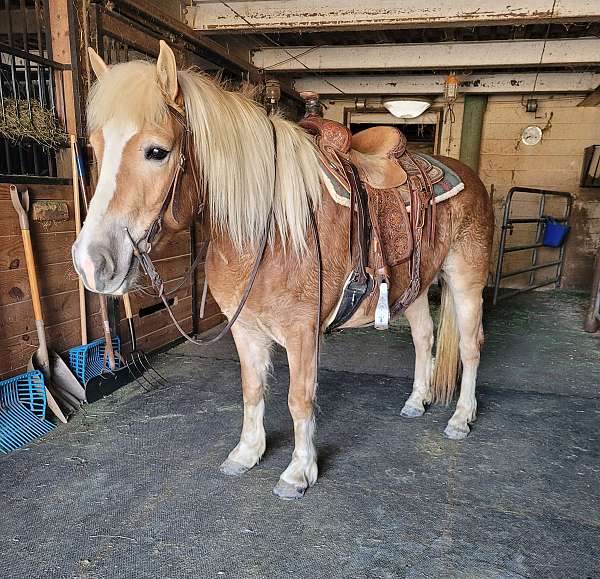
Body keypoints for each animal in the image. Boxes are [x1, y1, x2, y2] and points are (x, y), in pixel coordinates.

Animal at [71, 43, 492, 500]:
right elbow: (252, 389)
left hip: (466, 283)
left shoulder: (302, 332)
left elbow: (299, 399)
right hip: (412, 287)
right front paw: (247, 453)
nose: (91, 263)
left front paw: (298, 472)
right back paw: (417, 401)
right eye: (95, 149)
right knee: (423, 338)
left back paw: (461, 419)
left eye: (157, 152)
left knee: (470, 347)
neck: (268, 231)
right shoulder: (245, 328)